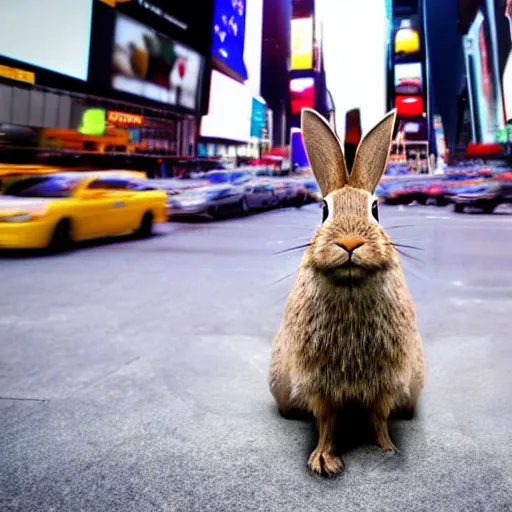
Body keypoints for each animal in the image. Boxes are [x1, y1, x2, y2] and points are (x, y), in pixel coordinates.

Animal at [268, 108, 424, 476]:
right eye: (324, 210)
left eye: (376, 209)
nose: (350, 242)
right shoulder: (319, 385)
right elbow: (326, 423)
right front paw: (324, 461)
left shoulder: (385, 383)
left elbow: (379, 418)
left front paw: (387, 450)